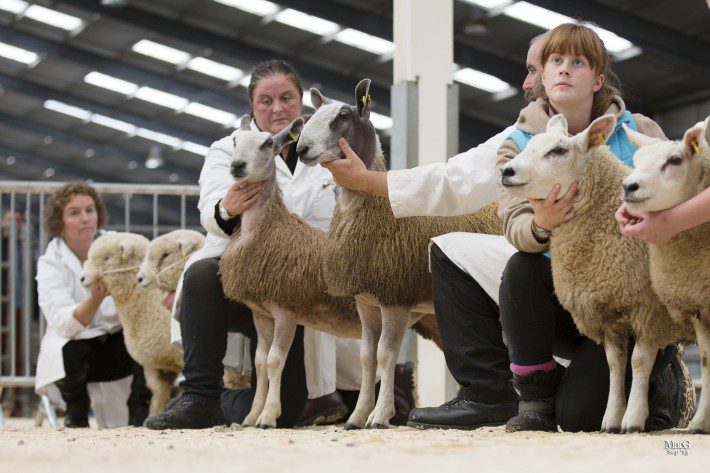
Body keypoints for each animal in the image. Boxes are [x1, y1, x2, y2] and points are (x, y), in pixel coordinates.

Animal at [218, 114, 440, 428]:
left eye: (267, 144)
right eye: (235, 140)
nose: (237, 166)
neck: (262, 228)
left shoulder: (285, 309)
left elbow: (275, 360)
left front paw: (268, 416)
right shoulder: (260, 312)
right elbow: (260, 363)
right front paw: (251, 417)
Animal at [298, 80, 504, 428]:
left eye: (343, 116)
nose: (301, 149)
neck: (378, 212)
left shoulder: (394, 297)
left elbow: (386, 355)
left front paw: (380, 415)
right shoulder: (366, 301)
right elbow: (367, 357)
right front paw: (357, 416)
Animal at [500, 113, 696, 432]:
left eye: (558, 150)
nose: (506, 171)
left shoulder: (649, 306)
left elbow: (639, 362)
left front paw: (632, 419)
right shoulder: (608, 309)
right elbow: (615, 365)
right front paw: (611, 419)